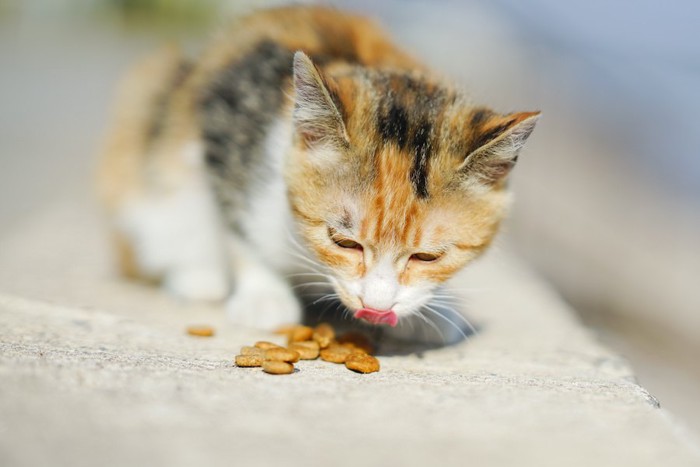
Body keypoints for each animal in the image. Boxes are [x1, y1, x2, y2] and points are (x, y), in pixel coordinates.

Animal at [95, 3, 540, 340]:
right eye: (343, 242)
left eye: (428, 256)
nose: (376, 307)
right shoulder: (224, 126)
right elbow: (238, 223)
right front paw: (263, 295)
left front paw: (434, 316)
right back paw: (198, 276)